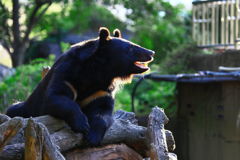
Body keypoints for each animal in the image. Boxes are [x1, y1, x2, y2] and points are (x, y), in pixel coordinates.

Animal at [7, 27, 156, 145]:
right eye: (131, 47)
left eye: (134, 45)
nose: (151, 52)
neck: (98, 72)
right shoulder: (66, 75)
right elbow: (56, 97)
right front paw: (82, 124)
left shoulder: (100, 90)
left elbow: (103, 110)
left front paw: (93, 136)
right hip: (26, 108)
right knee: (13, 110)